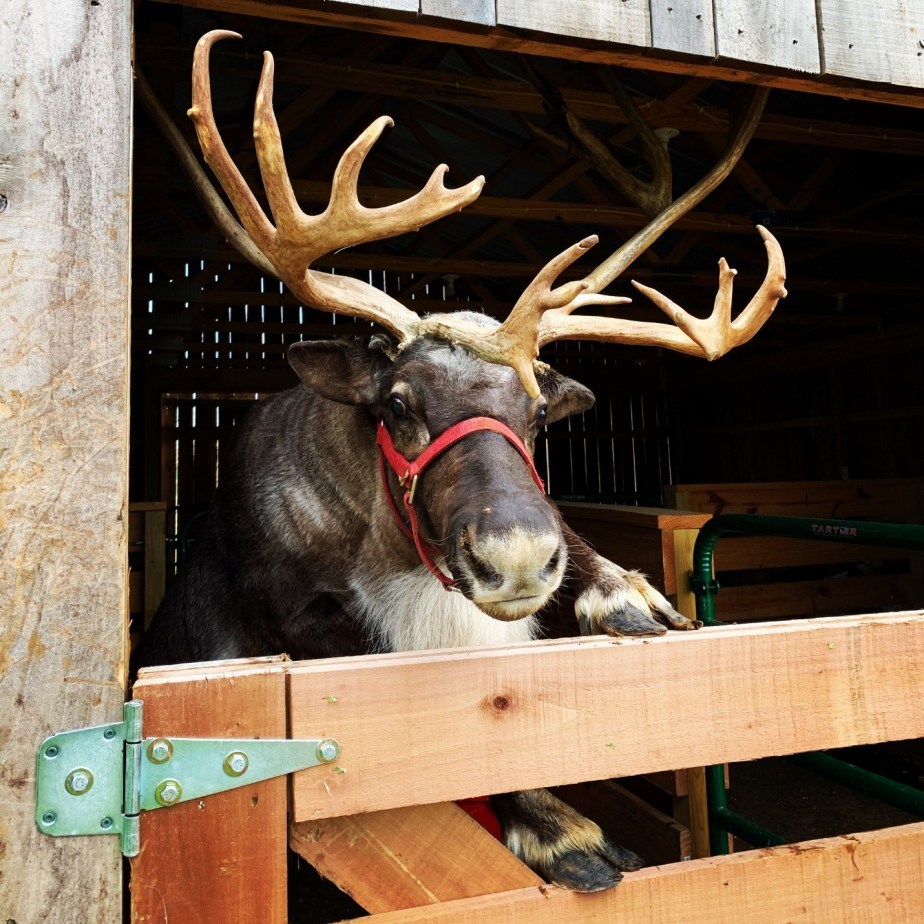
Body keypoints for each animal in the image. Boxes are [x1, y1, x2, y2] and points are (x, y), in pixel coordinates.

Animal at [135, 31, 786, 895]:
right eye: (397, 402)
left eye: (539, 413)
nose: (515, 559)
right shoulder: (292, 623)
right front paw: (561, 829)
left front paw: (626, 594)